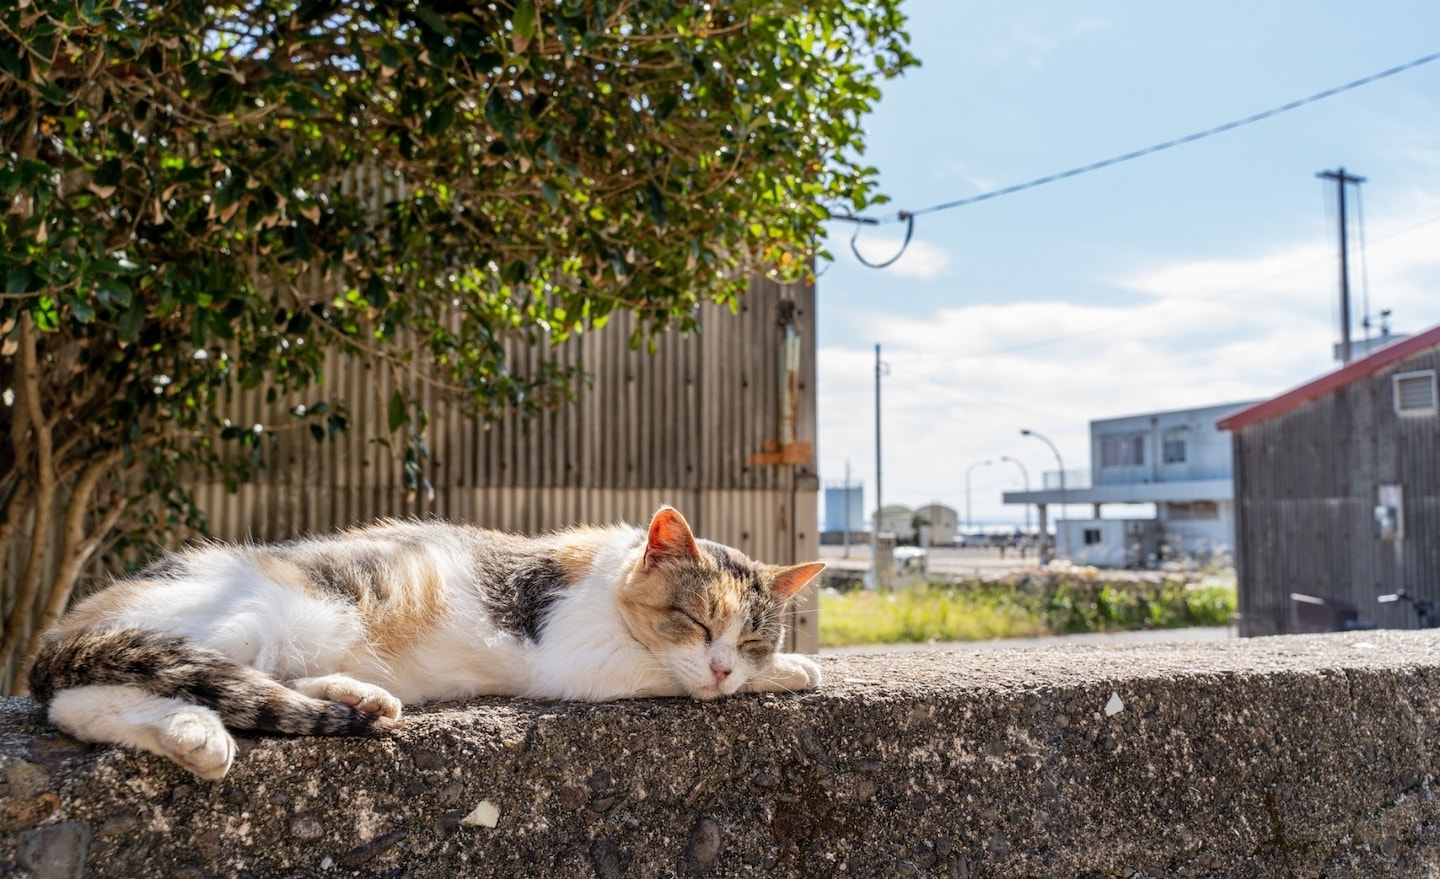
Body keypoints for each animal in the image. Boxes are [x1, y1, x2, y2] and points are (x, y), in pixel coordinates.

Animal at [25, 504, 823, 778]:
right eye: (697, 622)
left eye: (752, 634)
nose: (724, 666)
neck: (605, 573)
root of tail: (66, 622)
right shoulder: (579, 656)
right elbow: (667, 673)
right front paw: (791, 668)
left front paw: (781, 666)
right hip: (250, 614)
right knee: (84, 699)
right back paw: (194, 735)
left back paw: (361, 699)